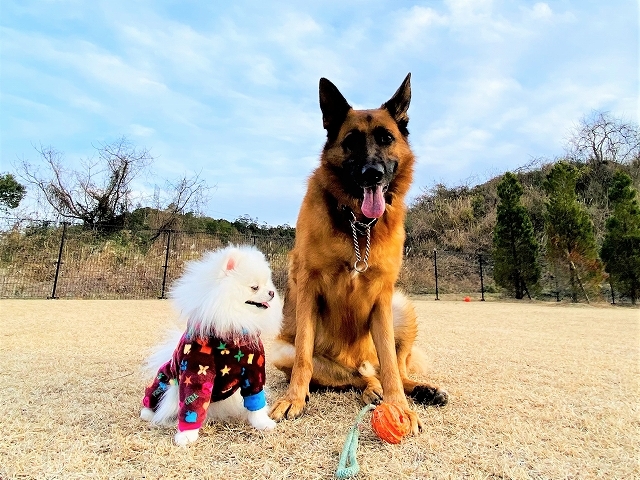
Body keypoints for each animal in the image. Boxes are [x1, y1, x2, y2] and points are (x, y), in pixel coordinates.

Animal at [270, 73, 450, 434]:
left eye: (386, 138)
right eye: (351, 142)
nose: (372, 174)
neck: (358, 224)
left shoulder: (382, 298)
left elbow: (392, 366)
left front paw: (401, 406)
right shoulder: (308, 291)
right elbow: (304, 358)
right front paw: (294, 398)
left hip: (400, 306)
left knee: (390, 369)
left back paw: (416, 390)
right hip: (282, 349)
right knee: (354, 375)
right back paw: (370, 390)